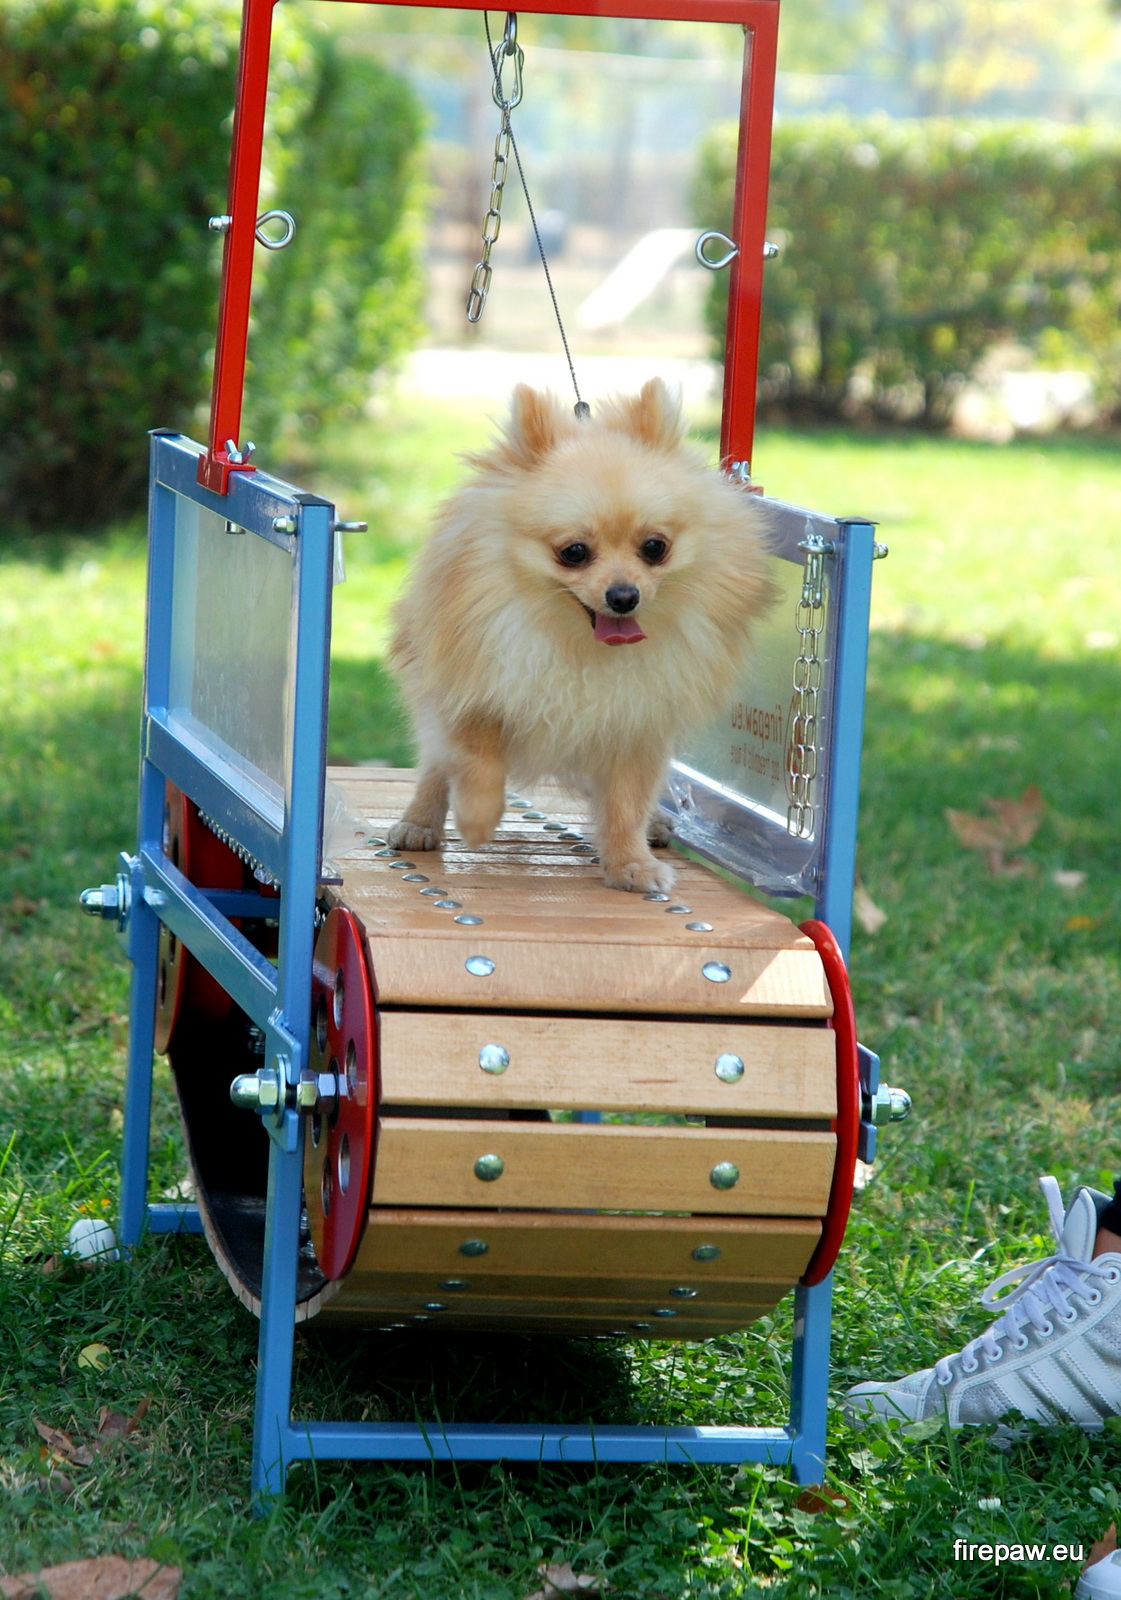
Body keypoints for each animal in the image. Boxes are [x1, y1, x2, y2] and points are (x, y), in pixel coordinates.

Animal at [385, 379, 770, 896]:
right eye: (574, 552)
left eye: (655, 547)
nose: (624, 596)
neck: (577, 647)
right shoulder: (474, 683)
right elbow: (474, 756)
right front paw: (477, 820)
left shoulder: (636, 719)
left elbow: (627, 801)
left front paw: (631, 864)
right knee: (434, 765)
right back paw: (420, 822)